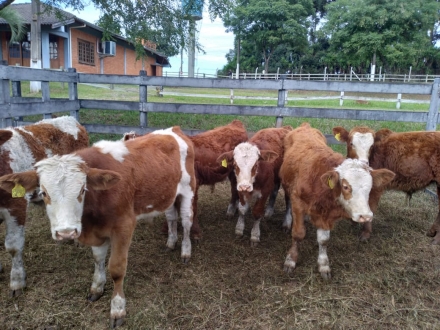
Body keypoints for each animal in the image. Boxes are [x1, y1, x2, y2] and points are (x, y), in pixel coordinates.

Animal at [282, 123, 396, 278]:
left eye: (370, 187)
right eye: (346, 186)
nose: (365, 216)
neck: (319, 181)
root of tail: (305, 126)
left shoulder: (326, 213)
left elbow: (323, 240)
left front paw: (324, 264)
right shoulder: (298, 202)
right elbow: (298, 234)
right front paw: (291, 260)